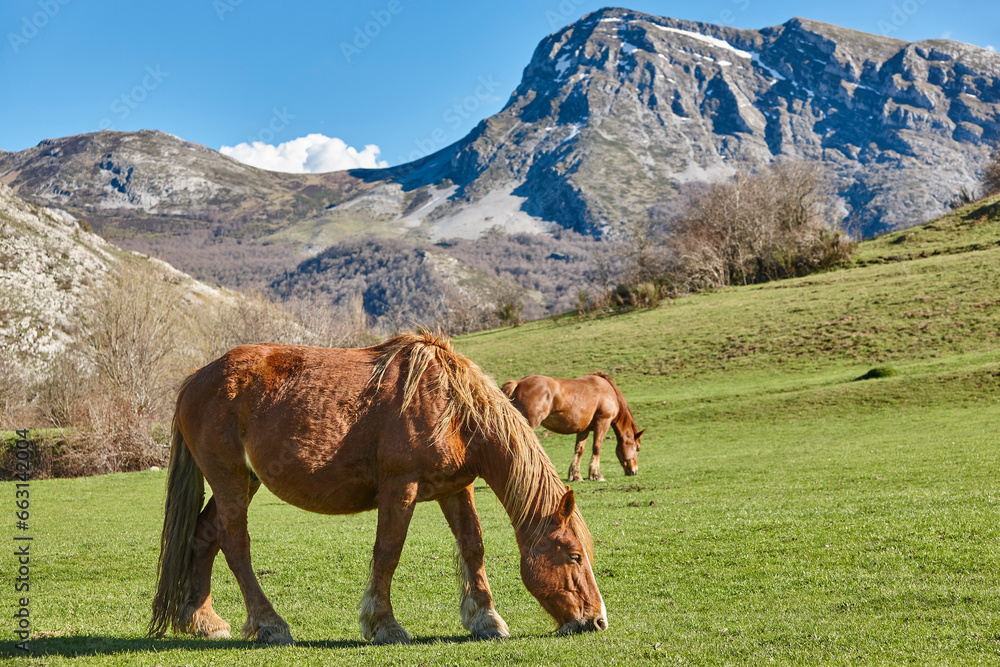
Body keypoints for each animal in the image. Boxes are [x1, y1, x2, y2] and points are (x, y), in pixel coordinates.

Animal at [147, 334, 600, 648]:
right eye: (574, 556)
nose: (596, 621)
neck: (452, 406)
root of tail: (195, 380)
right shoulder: (401, 488)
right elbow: (388, 552)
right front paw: (384, 625)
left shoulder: (456, 488)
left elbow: (473, 546)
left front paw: (486, 619)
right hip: (230, 481)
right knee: (235, 545)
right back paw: (270, 625)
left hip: (243, 480)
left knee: (204, 537)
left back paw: (204, 621)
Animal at [504, 374, 644, 482]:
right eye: (637, 448)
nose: (634, 471)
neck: (608, 391)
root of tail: (518, 383)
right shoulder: (603, 422)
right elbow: (597, 447)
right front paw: (596, 475)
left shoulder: (583, 430)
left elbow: (579, 450)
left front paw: (575, 476)